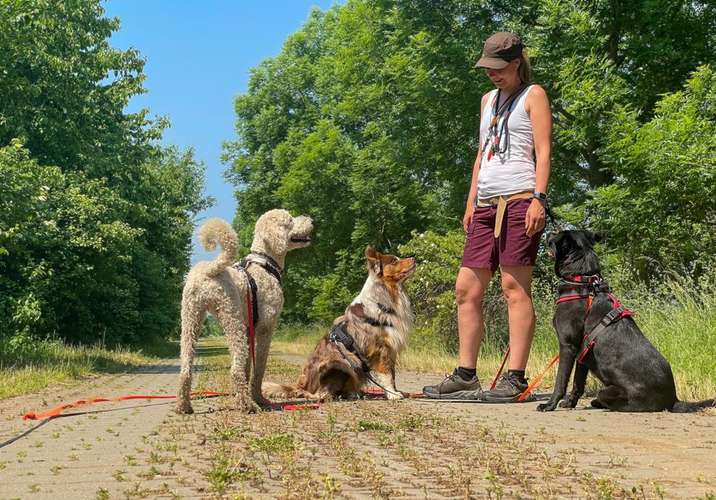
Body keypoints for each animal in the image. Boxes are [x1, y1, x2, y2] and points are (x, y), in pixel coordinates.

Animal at [262, 247, 414, 402]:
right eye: (394, 261)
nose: (413, 258)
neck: (385, 295)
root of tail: (302, 386)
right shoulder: (380, 348)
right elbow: (387, 374)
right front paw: (393, 394)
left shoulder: (391, 348)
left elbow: (392, 375)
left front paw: (394, 391)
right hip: (340, 363)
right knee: (316, 394)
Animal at [540, 230, 712, 414]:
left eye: (556, 235)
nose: (547, 233)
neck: (582, 279)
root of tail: (673, 399)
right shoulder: (582, 352)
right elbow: (577, 383)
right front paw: (570, 403)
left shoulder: (568, 345)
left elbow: (561, 381)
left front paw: (549, 405)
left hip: (609, 391)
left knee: (612, 400)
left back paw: (602, 404)